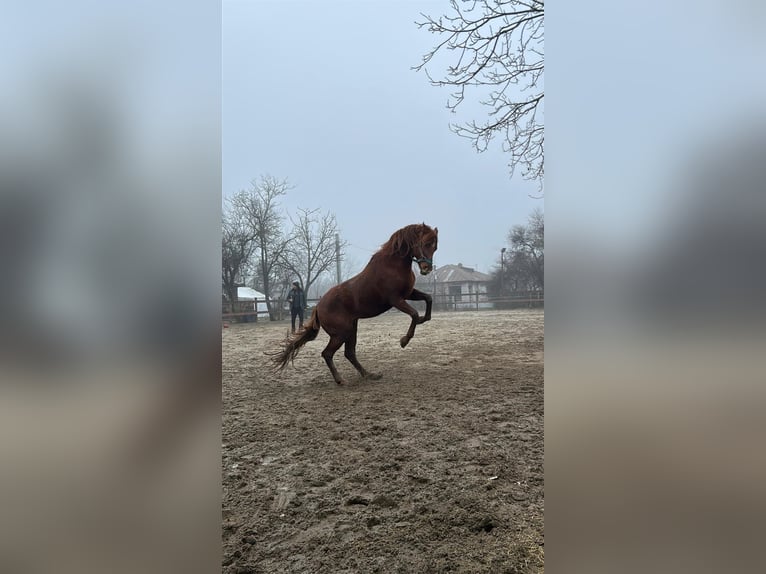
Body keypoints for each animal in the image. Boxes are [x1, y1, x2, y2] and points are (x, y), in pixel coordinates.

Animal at [271, 223, 438, 384]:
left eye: (435, 247)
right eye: (425, 243)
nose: (427, 269)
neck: (393, 265)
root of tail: (318, 307)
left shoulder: (409, 294)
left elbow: (428, 299)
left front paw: (424, 319)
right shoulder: (396, 300)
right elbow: (414, 314)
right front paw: (404, 340)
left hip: (352, 328)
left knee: (349, 353)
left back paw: (368, 374)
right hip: (341, 333)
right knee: (327, 353)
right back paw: (340, 380)